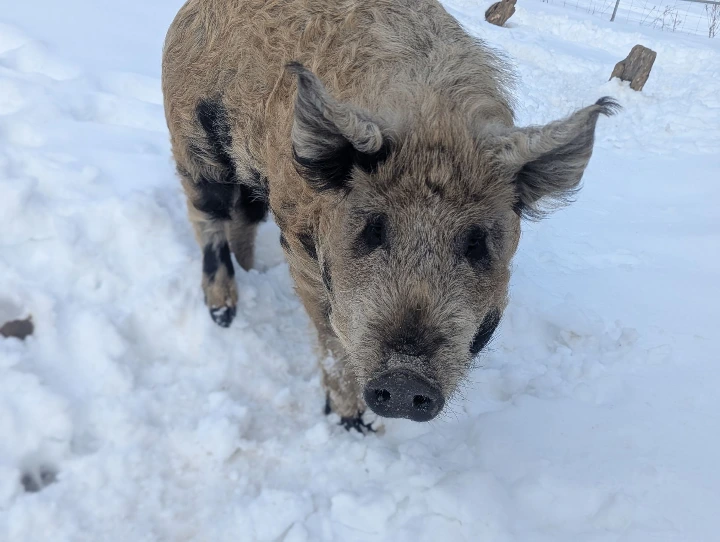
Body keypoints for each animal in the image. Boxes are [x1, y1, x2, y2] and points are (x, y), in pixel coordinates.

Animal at [161, 0, 618, 430]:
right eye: (373, 230)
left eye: (476, 242)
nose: (404, 379)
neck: (433, 119)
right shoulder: (300, 247)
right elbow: (331, 338)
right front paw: (353, 426)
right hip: (193, 138)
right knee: (207, 215)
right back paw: (223, 314)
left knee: (244, 216)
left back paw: (250, 271)